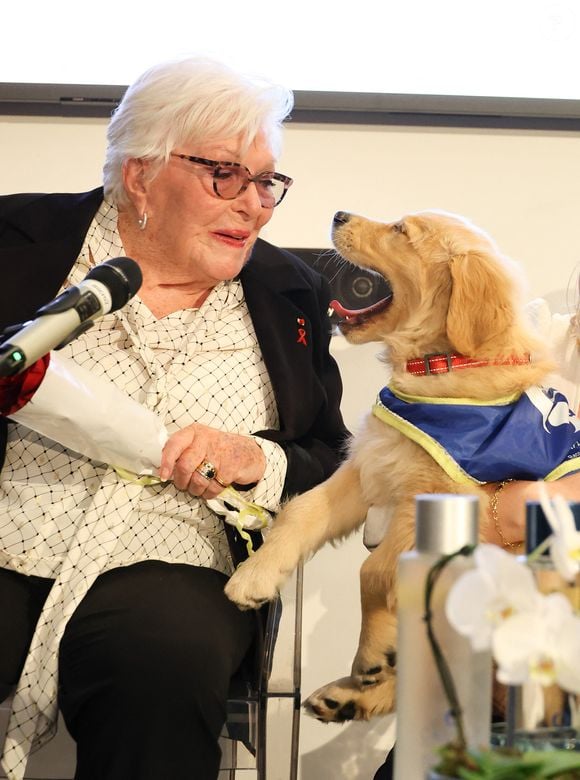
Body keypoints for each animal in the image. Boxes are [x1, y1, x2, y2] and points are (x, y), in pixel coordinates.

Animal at [223, 210, 556, 724]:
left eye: (402, 231)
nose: (338, 214)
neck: (440, 363)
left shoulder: (439, 498)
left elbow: (375, 571)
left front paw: (370, 654)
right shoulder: (370, 469)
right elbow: (301, 513)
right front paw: (253, 577)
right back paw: (348, 698)